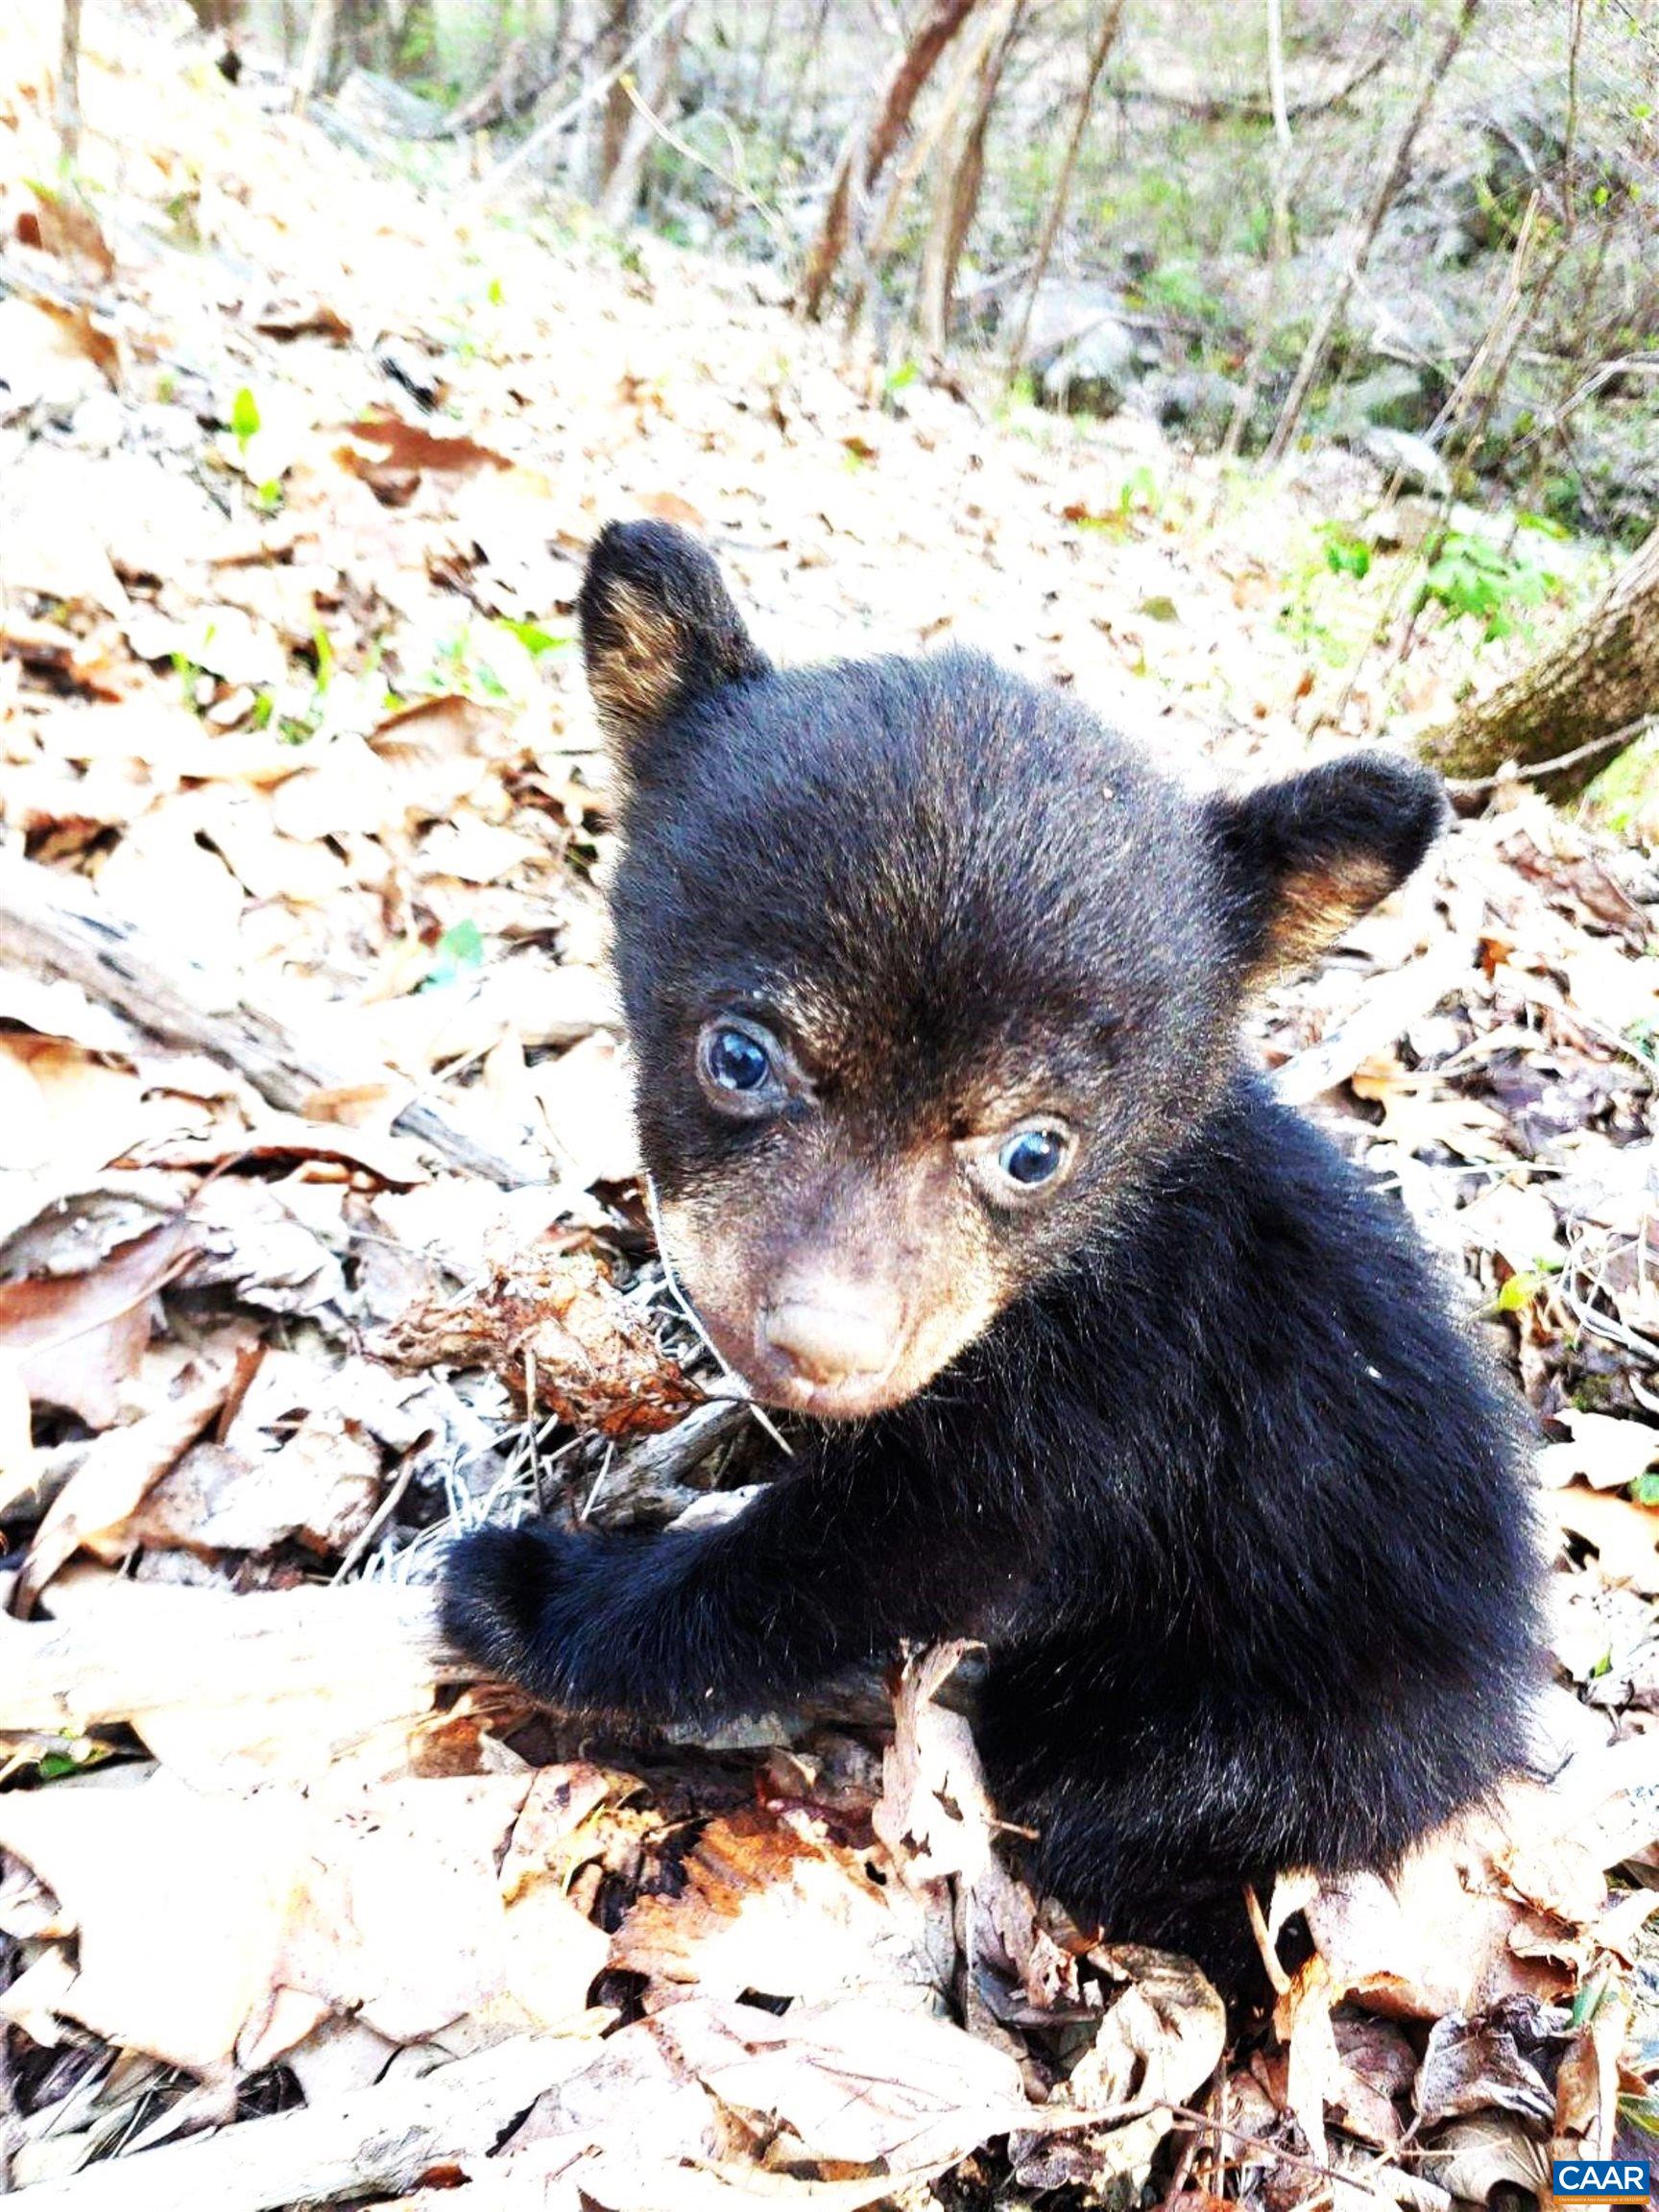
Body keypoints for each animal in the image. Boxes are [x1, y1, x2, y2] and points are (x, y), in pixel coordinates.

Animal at [443, 518, 1542, 1990]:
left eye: (1034, 1151)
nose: (821, 1343)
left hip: (1248, 1719)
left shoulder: (1102, 1413)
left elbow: (856, 1559)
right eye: (740, 1055)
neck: (1077, 1270)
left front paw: (536, 1594)